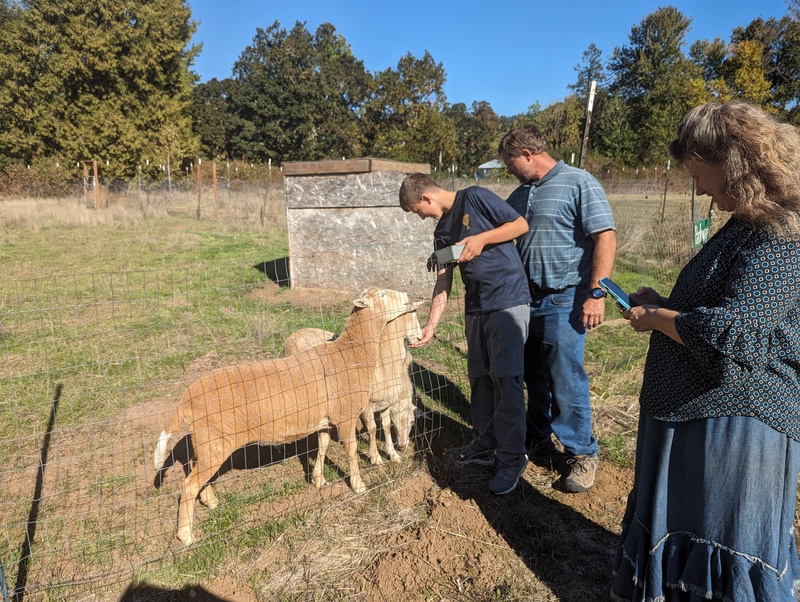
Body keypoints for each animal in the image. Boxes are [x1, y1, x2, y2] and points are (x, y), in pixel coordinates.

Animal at [282, 308, 422, 462]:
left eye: (412, 422)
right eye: (396, 423)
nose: (402, 446)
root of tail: (294, 334)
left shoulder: (386, 403)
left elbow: (384, 427)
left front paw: (393, 454)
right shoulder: (366, 404)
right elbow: (372, 428)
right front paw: (375, 457)